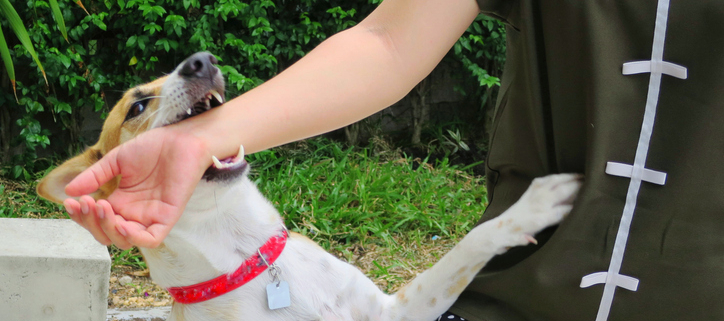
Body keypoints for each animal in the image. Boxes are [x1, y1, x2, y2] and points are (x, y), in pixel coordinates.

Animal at [38, 51, 584, 318]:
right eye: (136, 106)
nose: (201, 60)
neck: (250, 264)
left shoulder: (395, 311)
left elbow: (465, 247)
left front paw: (529, 208)